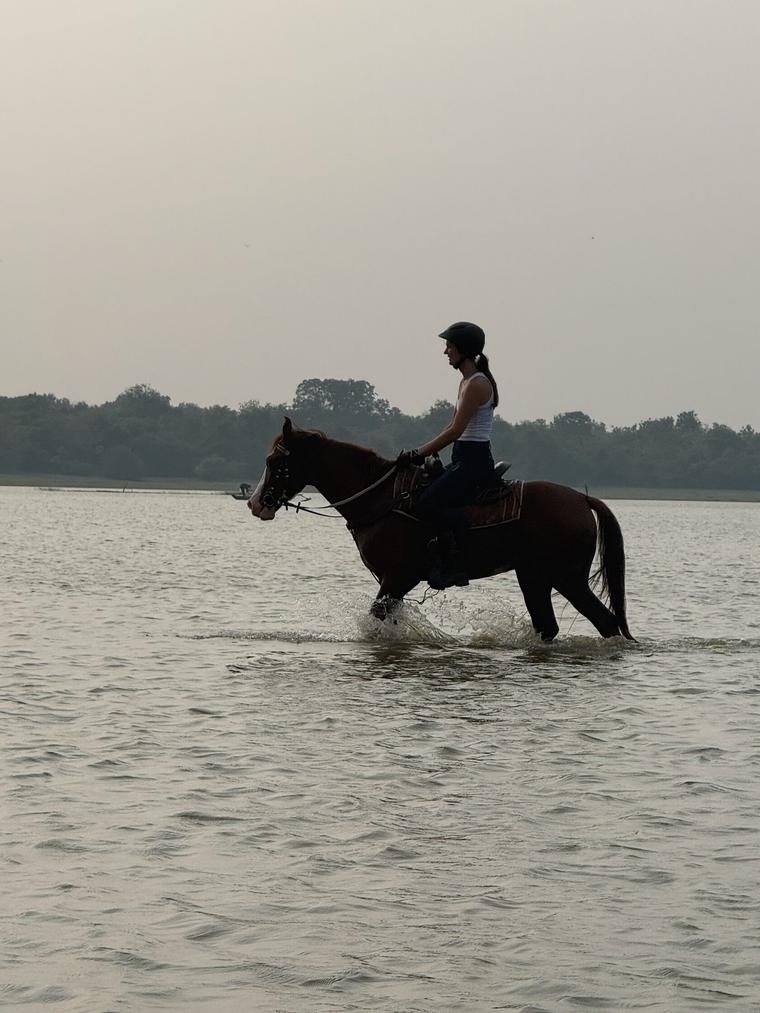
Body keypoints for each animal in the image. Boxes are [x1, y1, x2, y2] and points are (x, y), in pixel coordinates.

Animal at [248, 418, 634, 642]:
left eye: (274, 461)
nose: (255, 503)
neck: (380, 498)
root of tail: (582, 499)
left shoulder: (397, 577)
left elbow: (375, 620)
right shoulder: (394, 585)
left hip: (565, 578)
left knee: (605, 621)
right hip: (534, 577)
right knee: (551, 627)